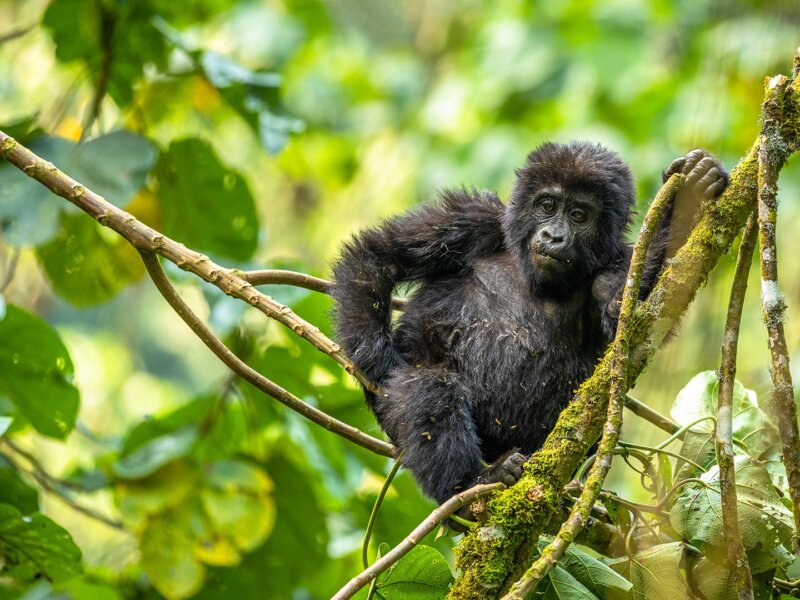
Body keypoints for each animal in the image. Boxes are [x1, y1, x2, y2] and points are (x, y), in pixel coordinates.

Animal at [331, 142, 727, 504]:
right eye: (547, 206)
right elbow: (379, 255)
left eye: (580, 214)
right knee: (428, 388)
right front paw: (377, 361)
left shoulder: (619, 263)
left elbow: (632, 316)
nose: (553, 236)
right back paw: (470, 482)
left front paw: (689, 196)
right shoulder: (473, 218)